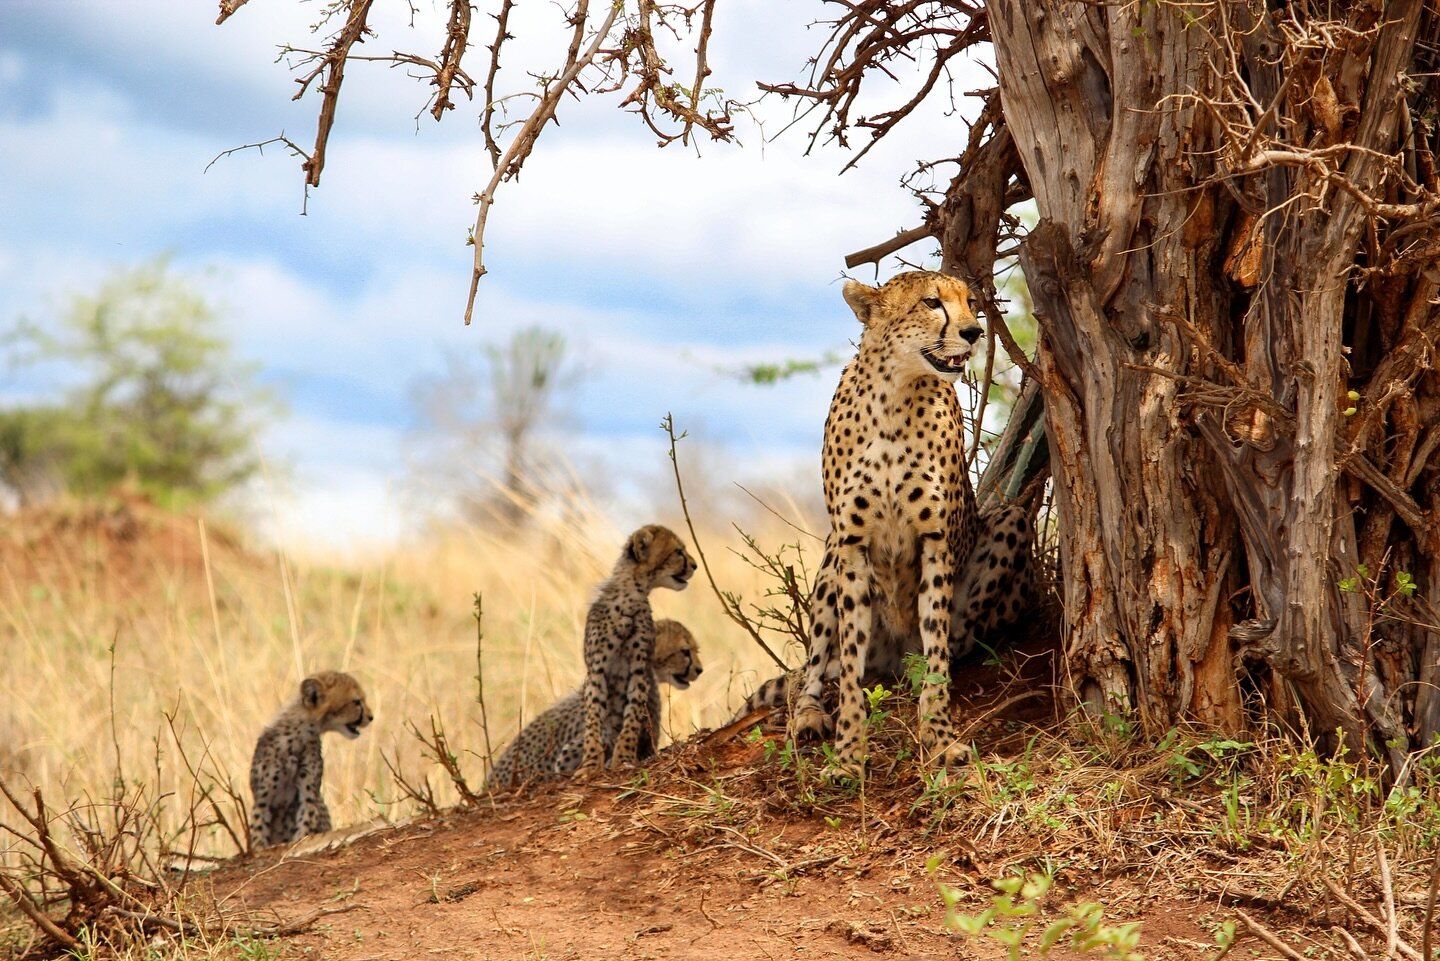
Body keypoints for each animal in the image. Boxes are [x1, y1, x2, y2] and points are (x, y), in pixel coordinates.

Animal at [249, 668, 374, 847]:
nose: (371, 717)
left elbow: (305, 823)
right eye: (357, 702)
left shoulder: (308, 795)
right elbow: (259, 834)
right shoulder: (262, 799)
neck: (299, 735)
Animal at [581, 521, 699, 778]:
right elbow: (593, 720)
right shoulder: (596, 670)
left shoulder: (639, 669)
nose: (695, 565)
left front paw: (623, 758)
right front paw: (590, 764)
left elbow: (633, 716)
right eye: (678, 552)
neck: (630, 595)